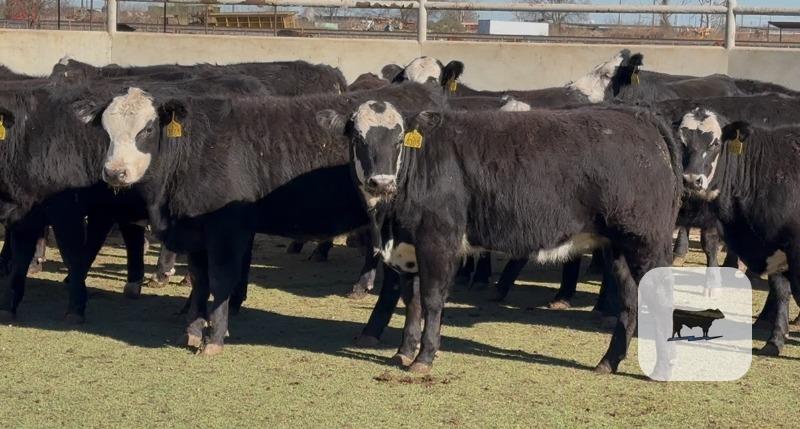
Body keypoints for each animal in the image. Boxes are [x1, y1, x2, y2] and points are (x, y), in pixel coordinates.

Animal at [323, 101, 682, 374]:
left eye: (398, 140)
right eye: (358, 138)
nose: (380, 182)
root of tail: (639, 117)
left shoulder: (438, 242)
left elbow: (432, 299)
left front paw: (424, 358)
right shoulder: (408, 250)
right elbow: (411, 301)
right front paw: (404, 352)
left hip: (648, 244)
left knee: (662, 298)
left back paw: (662, 368)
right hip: (618, 248)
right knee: (630, 301)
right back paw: (608, 362)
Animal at [678, 108, 800, 354]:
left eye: (715, 143)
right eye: (682, 141)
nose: (691, 180)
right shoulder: (775, 244)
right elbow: (781, 291)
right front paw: (775, 341)